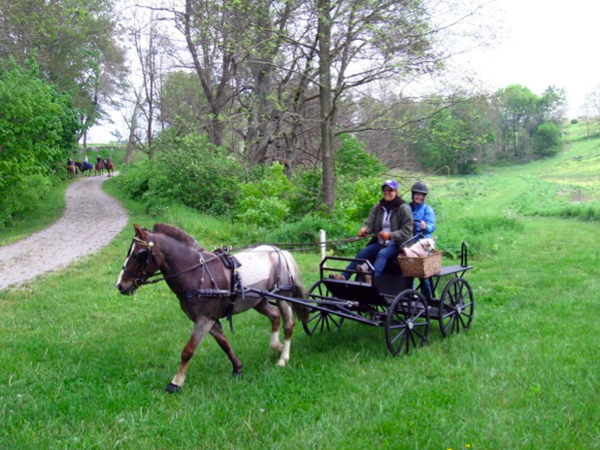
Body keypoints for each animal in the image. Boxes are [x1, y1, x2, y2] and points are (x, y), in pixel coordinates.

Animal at [116, 223, 310, 392]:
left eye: (140, 253)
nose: (120, 285)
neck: (195, 273)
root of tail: (280, 251)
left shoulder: (204, 319)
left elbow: (188, 351)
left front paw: (176, 382)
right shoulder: (209, 319)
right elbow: (224, 343)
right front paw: (237, 368)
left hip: (283, 296)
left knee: (288, 324)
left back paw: (283, 358)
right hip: (257, 301)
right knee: (275, 316)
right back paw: (276, 346)